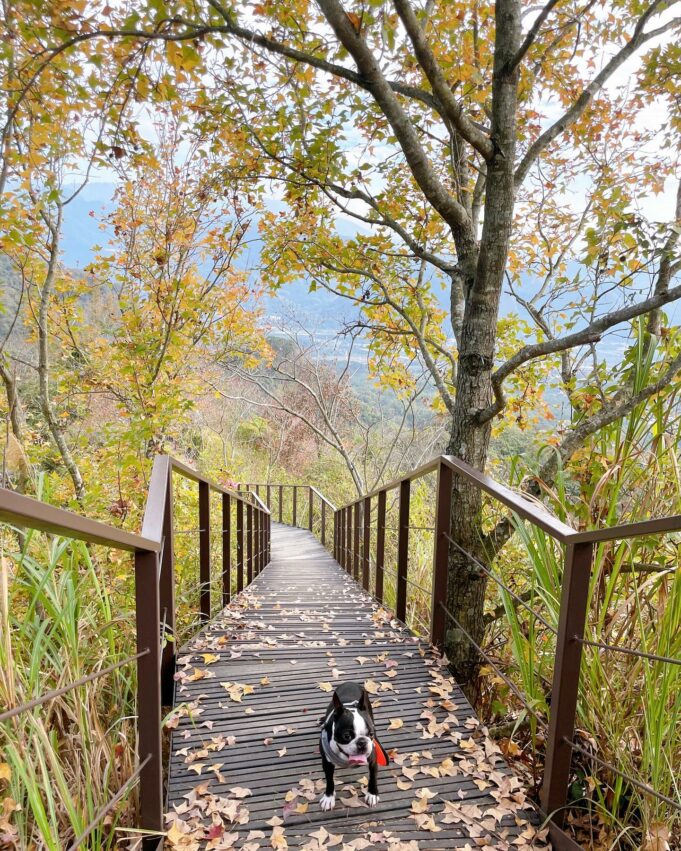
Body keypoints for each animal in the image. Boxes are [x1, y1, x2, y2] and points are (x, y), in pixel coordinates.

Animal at [318, 680, 388, 812]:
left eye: (371, 734)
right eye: (347, 736)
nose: (362, 742)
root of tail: (349, 682)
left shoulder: (373, 759)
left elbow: (373, 776)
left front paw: (372, 794)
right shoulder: (327, 763)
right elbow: (329, 780)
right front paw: (329, 797)